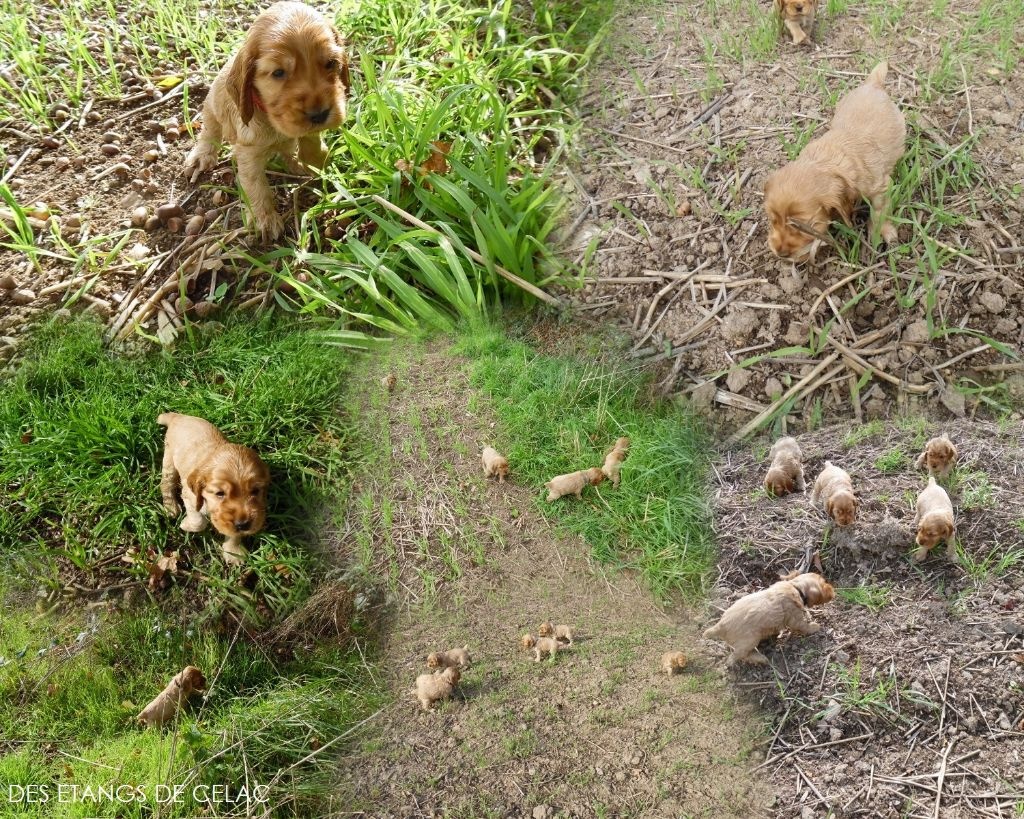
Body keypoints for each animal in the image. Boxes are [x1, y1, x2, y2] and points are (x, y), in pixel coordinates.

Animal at [154, 413, 268, 565]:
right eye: (220, 493)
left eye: (255, 491)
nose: (243, 524)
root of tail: (179, 416)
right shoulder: (190, 496)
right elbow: (199, 521)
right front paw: (186, 524)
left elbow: (233, 532)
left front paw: (233, 552)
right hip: (169, 458)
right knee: (166, 483)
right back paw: (170, 507)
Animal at [186, 1, 354, 239]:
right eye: (278, 73)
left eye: (331, 63)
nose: (320, 114)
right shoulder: (249, 153)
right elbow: (257, 187)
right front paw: (265, 221)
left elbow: (310, 142)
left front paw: (317, 161)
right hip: (212, 107)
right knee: (210, 131)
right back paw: (203, 155)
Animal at [700, 569, 835, 663]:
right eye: (824, 584)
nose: (834, 591)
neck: (795, 587)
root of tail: (719, 626)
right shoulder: (794, 617)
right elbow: (803, 626)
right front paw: (814, 626)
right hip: (750, 640)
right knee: (737, 656)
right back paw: (760, 659)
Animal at [765, 63, 909, 262]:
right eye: (772, 219)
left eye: (801, 226)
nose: (780, 253)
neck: (825, 160)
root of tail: (873, 84)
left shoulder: (881, 187)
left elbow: (880, 211)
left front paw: (882, 231)